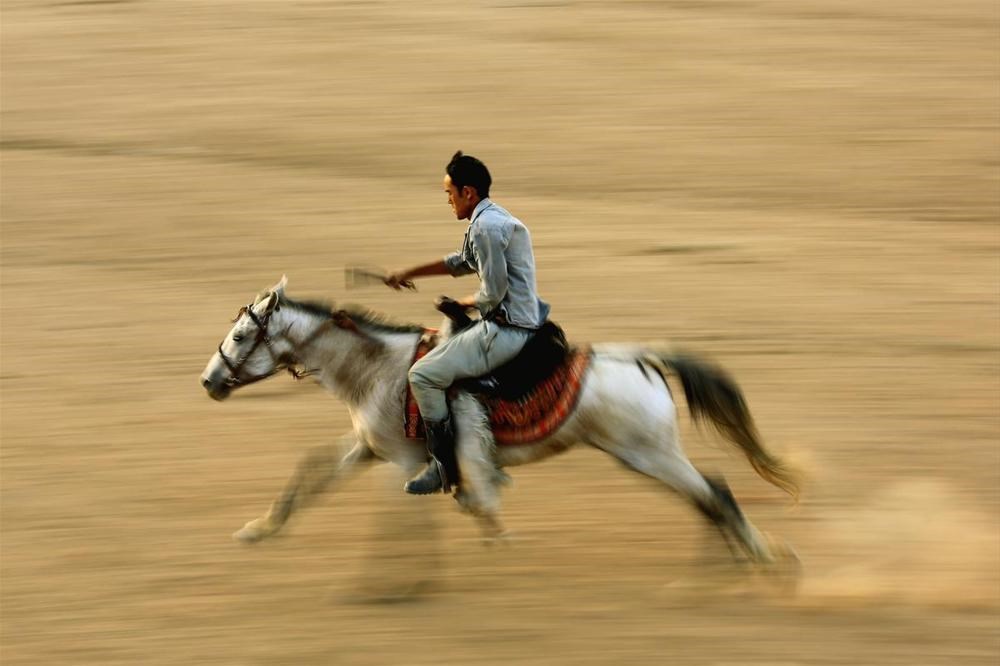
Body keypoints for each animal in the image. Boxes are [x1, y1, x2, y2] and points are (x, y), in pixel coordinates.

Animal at [199, 274, 800, 564]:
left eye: (240, 335)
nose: (208, 381)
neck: (379, 369)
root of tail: (642, 359)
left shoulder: (410, 461)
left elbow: (462, 507)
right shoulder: (370, 449)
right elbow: (309, 480)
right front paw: (258, 530)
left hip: (650, 453)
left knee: (714, 492)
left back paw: (759, 557)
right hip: (645, 456)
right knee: (708, 498)